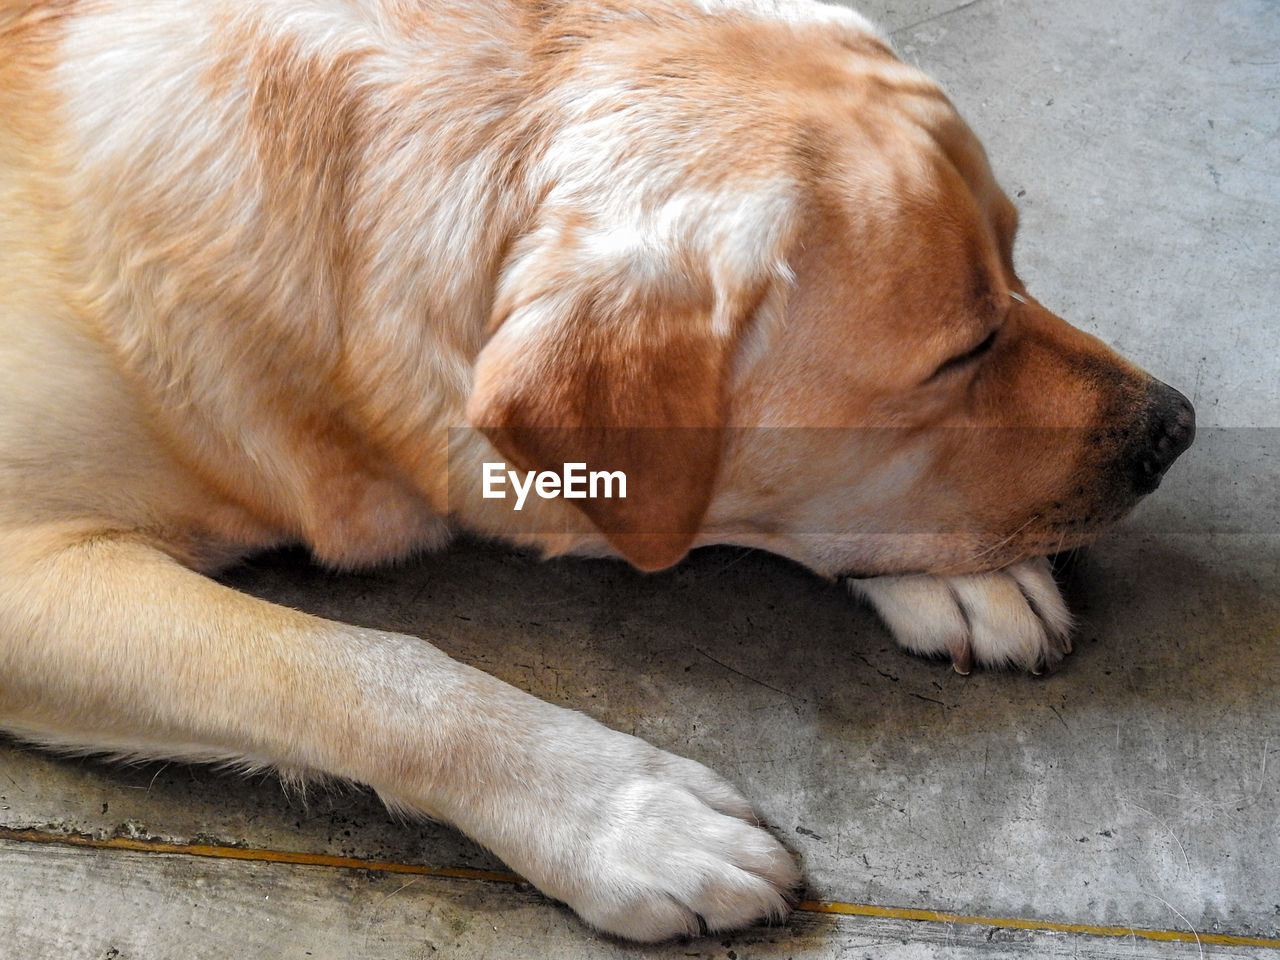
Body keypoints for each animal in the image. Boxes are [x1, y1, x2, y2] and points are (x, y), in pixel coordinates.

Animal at [5, 0, 1192, 942]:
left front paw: (962, 576)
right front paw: (625, 821)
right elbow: (374, 672)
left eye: (1016, 266)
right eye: (959, 353)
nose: (1176, 427)